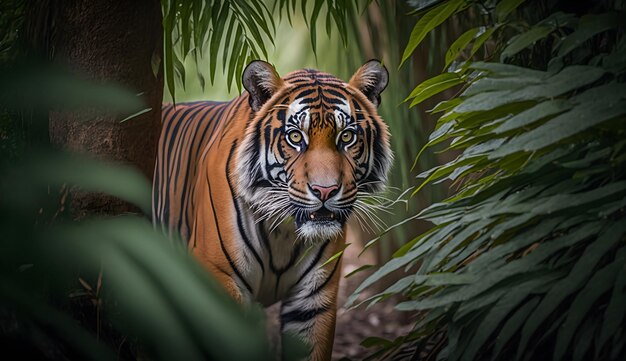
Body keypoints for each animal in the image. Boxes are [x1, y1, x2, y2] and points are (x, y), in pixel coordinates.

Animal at [151, 60, 390, 358]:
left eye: (346, 136)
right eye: (295, 137)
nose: (325, 191)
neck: (284, 230)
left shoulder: (313, 302)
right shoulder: (220, 283)